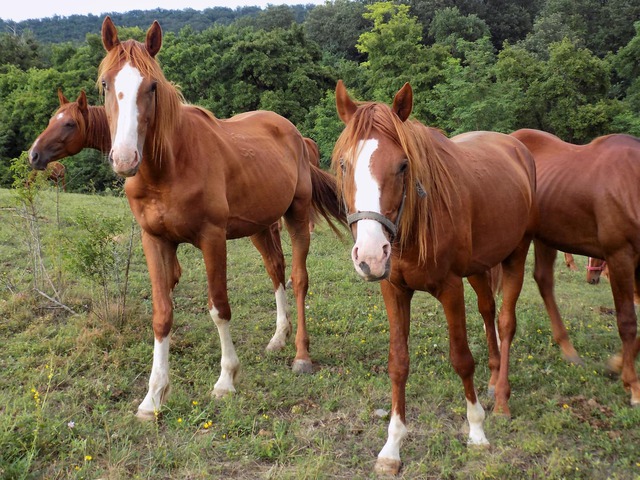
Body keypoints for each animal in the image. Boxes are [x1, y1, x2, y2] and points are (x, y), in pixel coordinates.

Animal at [97, 15, 344, 420]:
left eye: (152, 86)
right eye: (105, 83)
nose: (124, 158)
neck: (169, 166)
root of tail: (292, 132)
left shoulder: (212, 239)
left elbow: (219, 308)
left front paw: (226, 380)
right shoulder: (155, 240)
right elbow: (162, 314)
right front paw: (153, 397)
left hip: (296, 215)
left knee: (298, 278)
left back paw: (301, 355)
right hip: (260, 226)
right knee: (276, 271)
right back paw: (278, 338)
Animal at [332, 80, 536, 474]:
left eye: (402, 165)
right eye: (345, 164)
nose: (370, 256)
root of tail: (516, 147)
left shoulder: (450, 288)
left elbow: (462, 359)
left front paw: (477, 431)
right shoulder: (394, 290)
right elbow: (398, 363)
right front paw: (392, 447)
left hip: (516, 255)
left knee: (505, 322)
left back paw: (502, 400)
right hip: (479, 267)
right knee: (487, 311)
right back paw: (493, 380)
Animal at [510, 127, 640, 404]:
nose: (592, 279)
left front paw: (616, 366)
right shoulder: (621, 256)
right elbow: (627, 321)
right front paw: (632, 384)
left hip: (546, 236)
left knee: (544, 280)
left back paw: (567, 348)